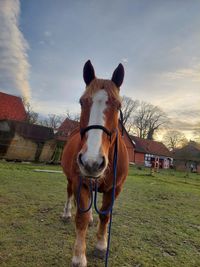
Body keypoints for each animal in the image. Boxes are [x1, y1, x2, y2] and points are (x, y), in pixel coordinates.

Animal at [61, 60, 129, 267]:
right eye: (82, 102)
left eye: (118, 104)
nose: (92, 161)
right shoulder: (79, 182)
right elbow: (81, 218)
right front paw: (79, 256)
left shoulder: (114, 189)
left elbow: (105, 215)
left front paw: (101, 245)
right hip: (71, 180)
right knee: (70, 195)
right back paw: (66, 213)